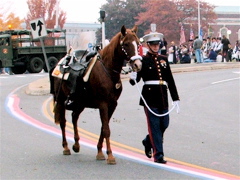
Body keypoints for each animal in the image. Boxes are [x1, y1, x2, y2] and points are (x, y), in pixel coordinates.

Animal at [49, 25, 142, 165]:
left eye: (138, 43)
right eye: (126, 44)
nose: (138, 65)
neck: (108, 71)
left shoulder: (112, 105)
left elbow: (103, 128)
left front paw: (99, 152)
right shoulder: (103, 104)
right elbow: (106, 130)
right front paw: (110, 156)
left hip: (80, 103)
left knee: (74, 117)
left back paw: (76, 145)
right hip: (60, 100)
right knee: (63, 122)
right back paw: (66, 147)